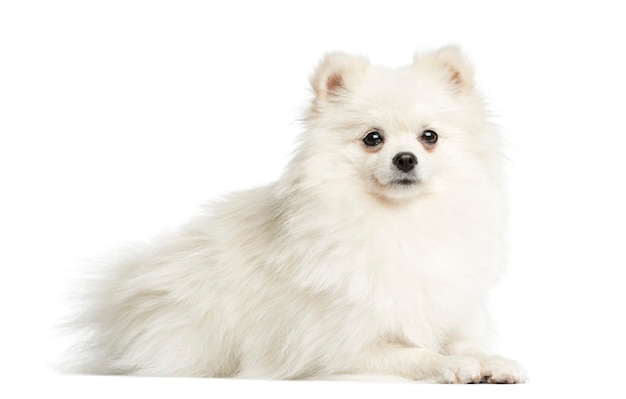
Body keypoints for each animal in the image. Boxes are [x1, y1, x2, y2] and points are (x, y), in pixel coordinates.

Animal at [75, 46, 528, 384]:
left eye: (429, 137)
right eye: (373, 138)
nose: (405, 158)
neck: (399, 220)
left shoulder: (451, 308)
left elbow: (465, 342)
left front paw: (493, 361)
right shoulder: (343, 345)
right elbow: (413, 354)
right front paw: (452, 365)